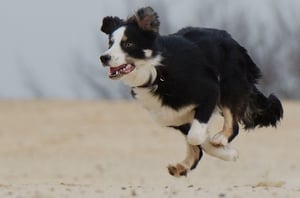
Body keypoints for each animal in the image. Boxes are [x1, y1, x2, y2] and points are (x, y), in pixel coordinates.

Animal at [100, 6, 284, 176]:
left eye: (128, 44)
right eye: (110, 43)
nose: (104, 57)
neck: (157, 73)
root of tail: (232, 39)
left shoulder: (210, 91)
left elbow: (195, 136)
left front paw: (227, 152)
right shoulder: (171, 115)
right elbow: (197, 140)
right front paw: (227, 153)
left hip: (229, 85)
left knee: (232, 123)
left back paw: (220, 139)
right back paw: (182, 166)